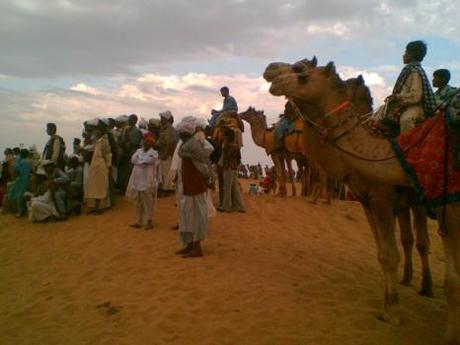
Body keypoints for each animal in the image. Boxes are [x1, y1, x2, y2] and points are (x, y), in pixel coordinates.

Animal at [262, 57, 460, 342]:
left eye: (301, 70)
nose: (271, 73)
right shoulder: (369, 200)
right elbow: (383, 254)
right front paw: (388, 308)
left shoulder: (394, 199)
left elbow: (401, 258)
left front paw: (397, 315)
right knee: (411, 240)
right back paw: (411, 280)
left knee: (422, 242)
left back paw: (425, 287)